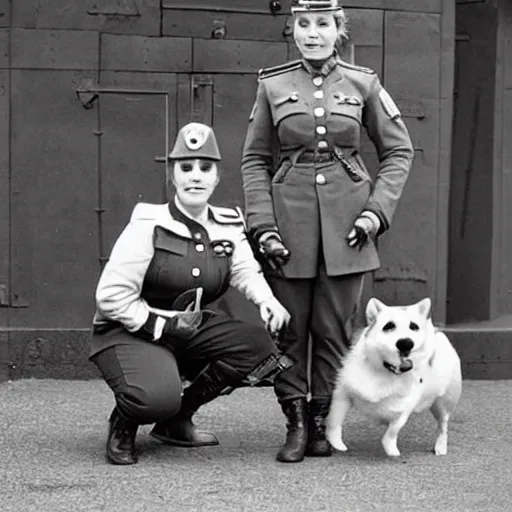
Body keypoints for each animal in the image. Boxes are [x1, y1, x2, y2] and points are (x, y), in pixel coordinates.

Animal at [326, 296, 462, 456]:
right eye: (388, 326)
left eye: (414, 326)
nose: (406, 343)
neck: (385, 372)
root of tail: (438, 331)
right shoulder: (342, 394)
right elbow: (335, 419)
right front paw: (337, 443)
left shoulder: (404, 410)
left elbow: (392, 431)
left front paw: (391, 450)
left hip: (444, 402)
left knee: (443, 425)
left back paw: (441, 446)